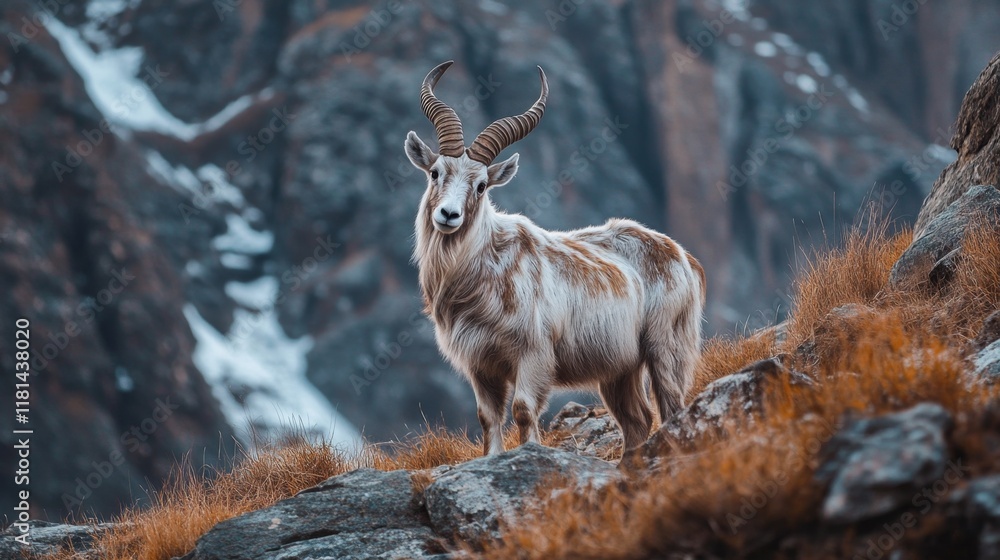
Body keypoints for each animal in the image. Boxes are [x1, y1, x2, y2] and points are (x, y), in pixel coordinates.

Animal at [405, 61, 705, 455]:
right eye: (435, 172)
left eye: (482, 186)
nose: (449, 215)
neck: (488, 266)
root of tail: (683, 257)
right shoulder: (480, 366)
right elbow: (488, 418)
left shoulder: (534, 356)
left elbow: (523, 410)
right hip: (619, 370)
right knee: (637, 419)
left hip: (665, 347)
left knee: (670, 406)